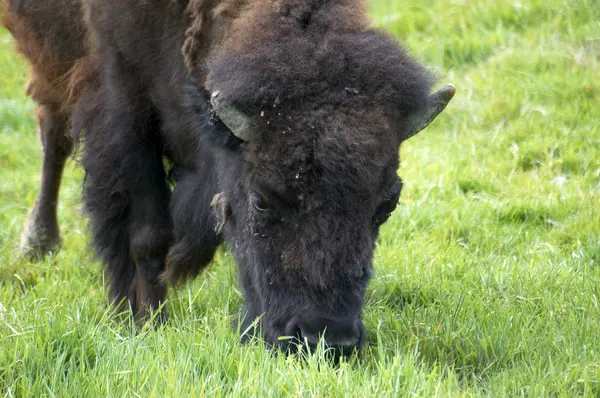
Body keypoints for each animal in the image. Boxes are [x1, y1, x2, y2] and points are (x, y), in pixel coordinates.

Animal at [2, 0, 454, 358]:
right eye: (261, 199)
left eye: (387, 205)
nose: (325, 340)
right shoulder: (122, 97)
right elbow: (146, 233)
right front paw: (145, 322)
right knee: (54, 131)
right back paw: (38, 243)